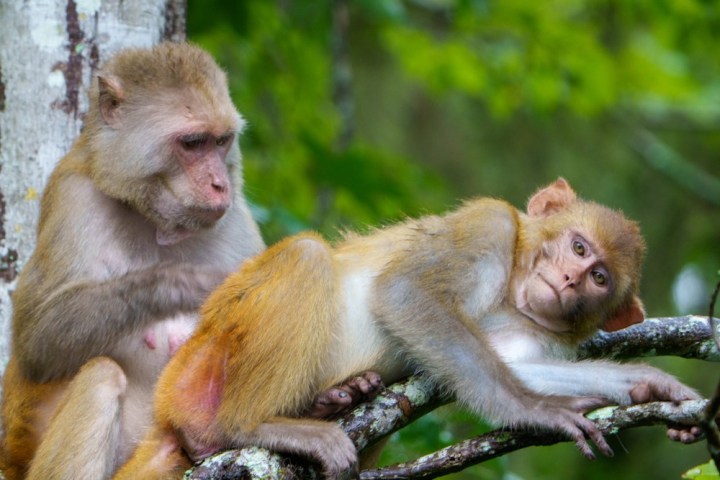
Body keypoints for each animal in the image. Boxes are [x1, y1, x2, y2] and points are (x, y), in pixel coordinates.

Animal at [115, 178, 700, 480]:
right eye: (578, 247)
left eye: (601, 278)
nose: (570, 279)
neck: (514, 285)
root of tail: (166, 406)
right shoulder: (488, 226)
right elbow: (404, 293)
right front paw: (535, 412)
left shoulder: (542, 331)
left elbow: (516, 365)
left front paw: (647, 384)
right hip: (206, 357)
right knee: (307, 257)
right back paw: (252, 425)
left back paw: (336, 399)